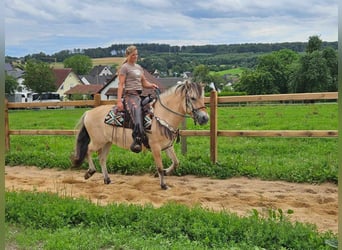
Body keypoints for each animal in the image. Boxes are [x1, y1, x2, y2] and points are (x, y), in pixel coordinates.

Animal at [73, 81, 208, 188]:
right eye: (192, 98)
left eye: (203, 98)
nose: (205, 118)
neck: (162, 115)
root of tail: (89, 112)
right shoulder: (155, 147)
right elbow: (159, 166)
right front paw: (163, 185)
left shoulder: (167, 145)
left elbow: (176, 162)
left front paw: (164, 173)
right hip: (98, 141)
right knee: (88, 150)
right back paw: (90, 172)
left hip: (107, 142)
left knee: (102, 158)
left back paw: (107, 179)